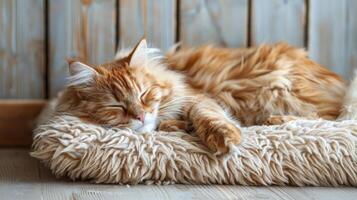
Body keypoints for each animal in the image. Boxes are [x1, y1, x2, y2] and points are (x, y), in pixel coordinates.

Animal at [56, 38, 344, 153]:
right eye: (116, 105)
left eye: (145, 94)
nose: (140, 116)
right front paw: (176, 126)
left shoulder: (199, 99)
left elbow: (209, 117)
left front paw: (225, 138)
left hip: (279, 90)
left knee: (329, 119)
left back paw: (273, 121)